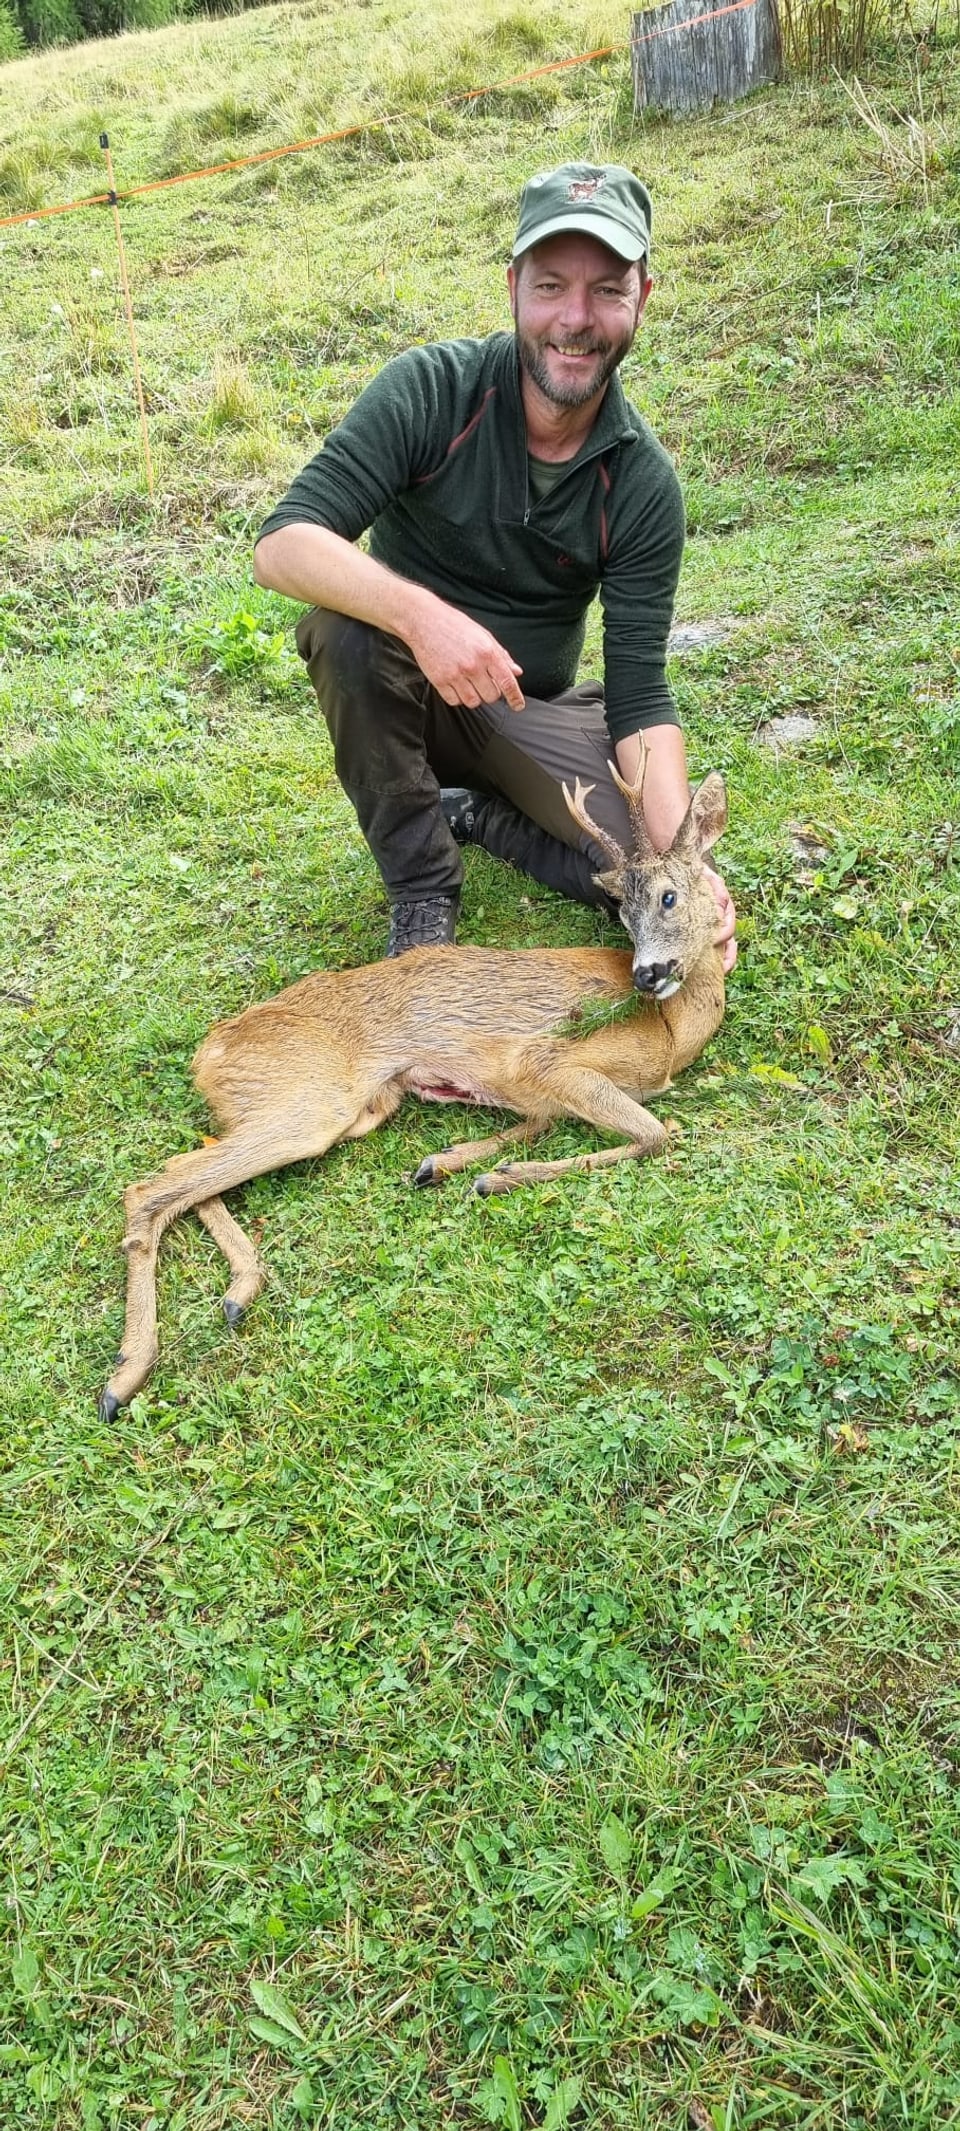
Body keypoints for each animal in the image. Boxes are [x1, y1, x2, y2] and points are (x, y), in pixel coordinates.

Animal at [99, 758, 729, 1423]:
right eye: (624, 914)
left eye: (668, 896)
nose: (646, 975)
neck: (671, 1034)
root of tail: (208, 1054)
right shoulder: (547, 1060)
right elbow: (654, 1134)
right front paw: (496, 1177)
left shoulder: (535, 1089)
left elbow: (540, 1125)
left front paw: (445, 1163)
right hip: (310, 1102)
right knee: (151, 1188)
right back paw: (125, 1376)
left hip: (347, 1106)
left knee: (186, 1167)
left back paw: (237, 1293)